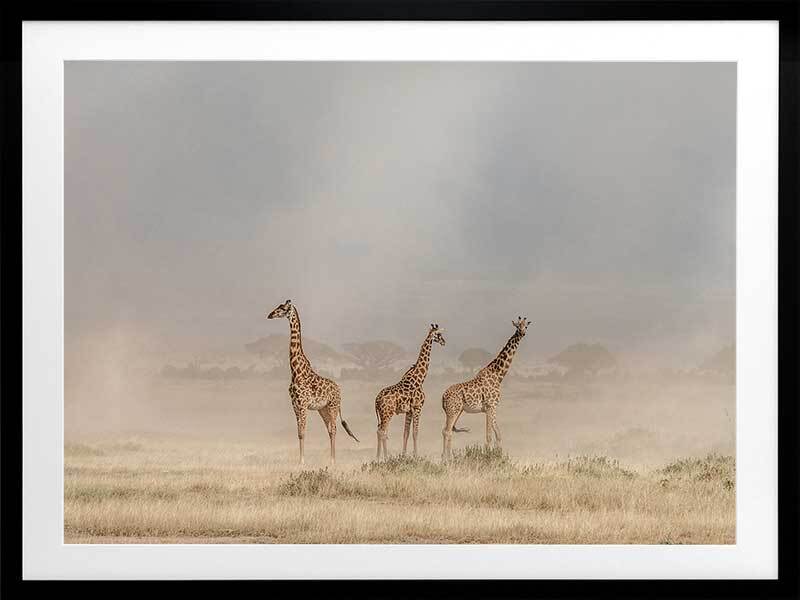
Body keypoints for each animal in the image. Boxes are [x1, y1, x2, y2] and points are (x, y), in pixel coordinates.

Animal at [266, 299, 359, 465]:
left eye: (283, 308)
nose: (270, 315)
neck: (296, 371)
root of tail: (339, 390)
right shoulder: (295, 405)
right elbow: (299, 433)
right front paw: (300, 461)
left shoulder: (303, 404)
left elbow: (303, 432)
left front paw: (302, 462)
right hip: (323, 409)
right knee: (330, 429)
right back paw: (330, 460)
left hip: (333, 407)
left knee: (334, 429)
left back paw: (333, 461)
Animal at [374, 323, 447, 459]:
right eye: (439, 334)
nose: (444, 342)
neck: (420, 379)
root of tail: (376, 400)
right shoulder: (418, 407)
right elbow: (415, 432)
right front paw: (416, 456)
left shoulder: (409, 411)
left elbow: (406, 432)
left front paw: (404, 455)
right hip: (388, 413)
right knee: (382, 432)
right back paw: (384, 458)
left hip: (382, 414)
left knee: (380, 431)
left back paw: (379, 457)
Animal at [441, 316, 532, 460]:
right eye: (517, 326)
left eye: (526, 326)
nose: (522, 333)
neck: (498, 375)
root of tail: (443, 396)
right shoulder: (490, 406)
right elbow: (489, 436)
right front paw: (488, 457)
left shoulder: (493, 408)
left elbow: (498, 434)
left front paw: (498, 456)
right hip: (452, 411)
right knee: (447, 431)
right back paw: (447, 459)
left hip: (456, 411)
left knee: (446, 431)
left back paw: (446, 458)